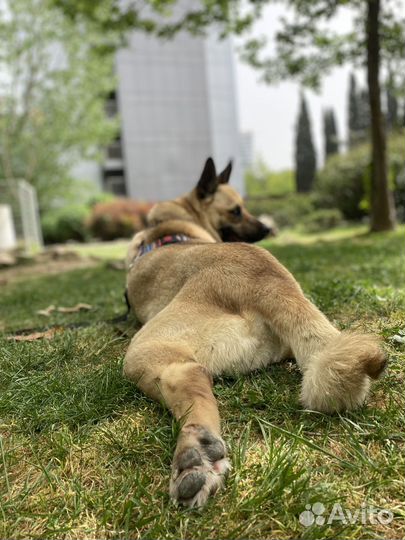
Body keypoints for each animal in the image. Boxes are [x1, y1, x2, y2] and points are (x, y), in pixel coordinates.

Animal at [122, 158, 386, 508]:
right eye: (236, 211)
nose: (265, 229)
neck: (173, 227)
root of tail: (267, 279)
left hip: (146, 349)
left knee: (190, 379)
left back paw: (197, 451)